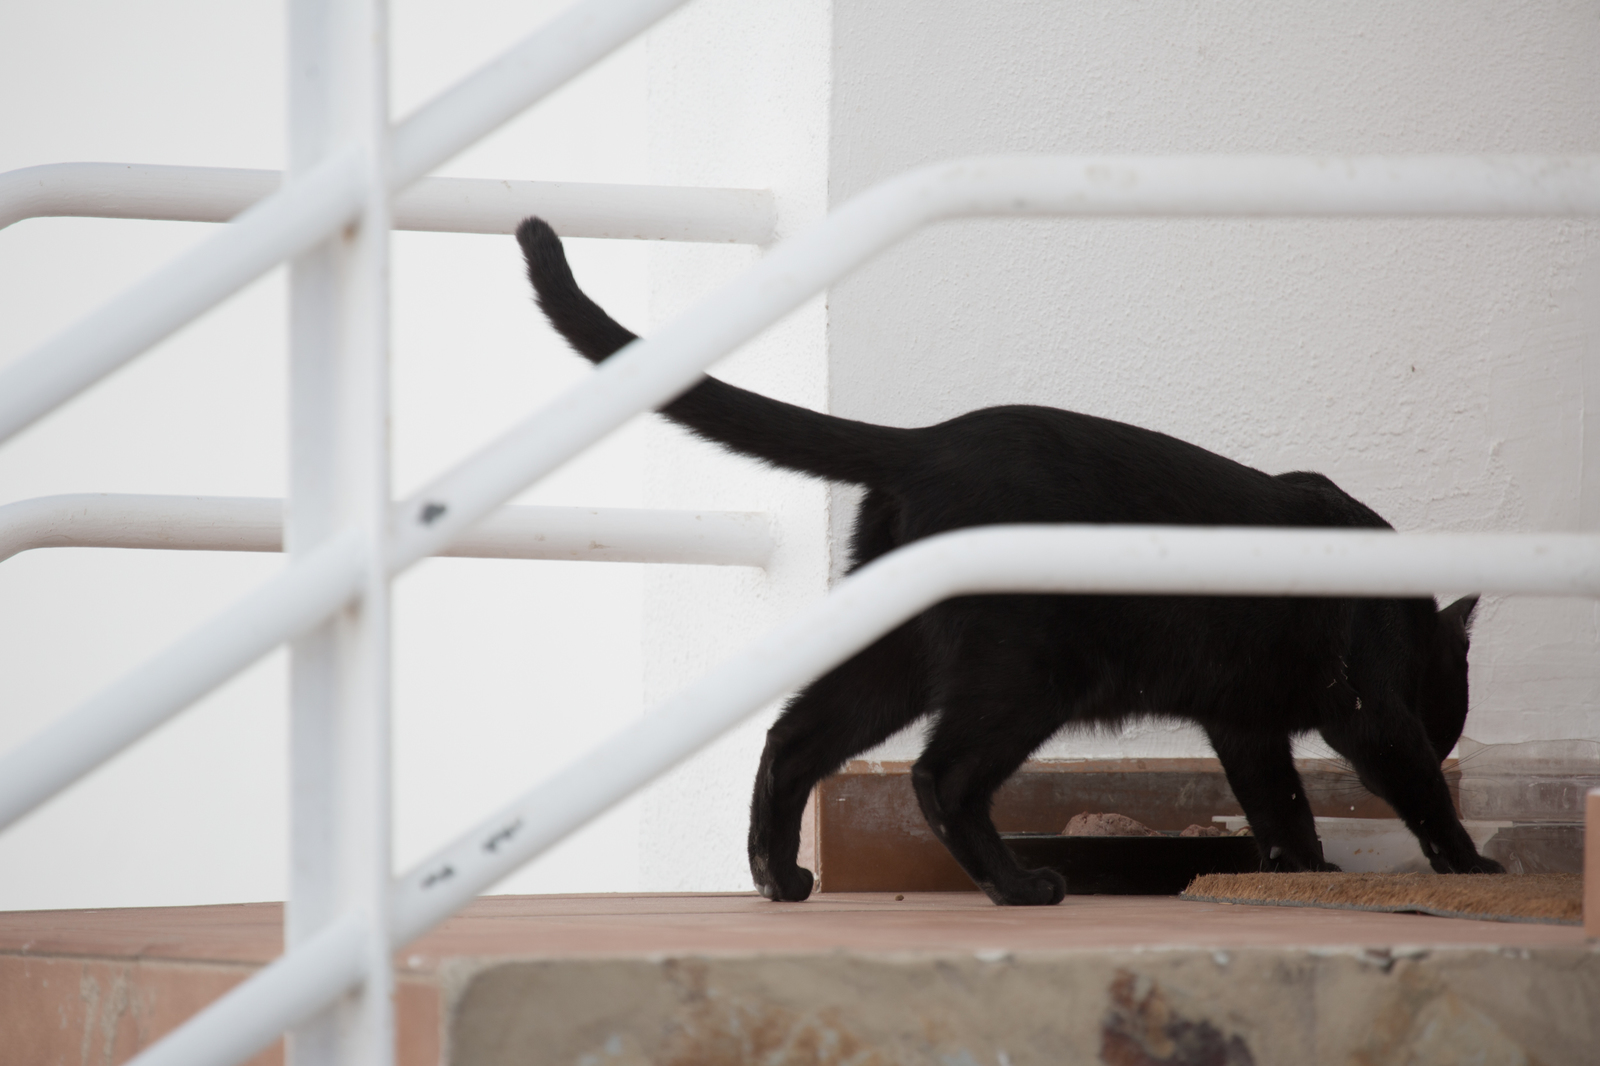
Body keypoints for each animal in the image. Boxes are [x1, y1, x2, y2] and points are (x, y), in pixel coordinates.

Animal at [518, 217, 1504, 902]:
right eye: (1449, 703)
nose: (1455, 733)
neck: (1401, 610)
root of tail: (925, 445)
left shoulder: (1243, 723)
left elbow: (1280, 802)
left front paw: (1305, 872)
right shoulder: (1368, 712)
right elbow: (1416, 788)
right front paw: (1472, 867)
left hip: (902, 658)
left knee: (794, 735)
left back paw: (779, 877)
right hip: (1030, 674)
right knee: (940, 775)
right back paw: (1018, 886)